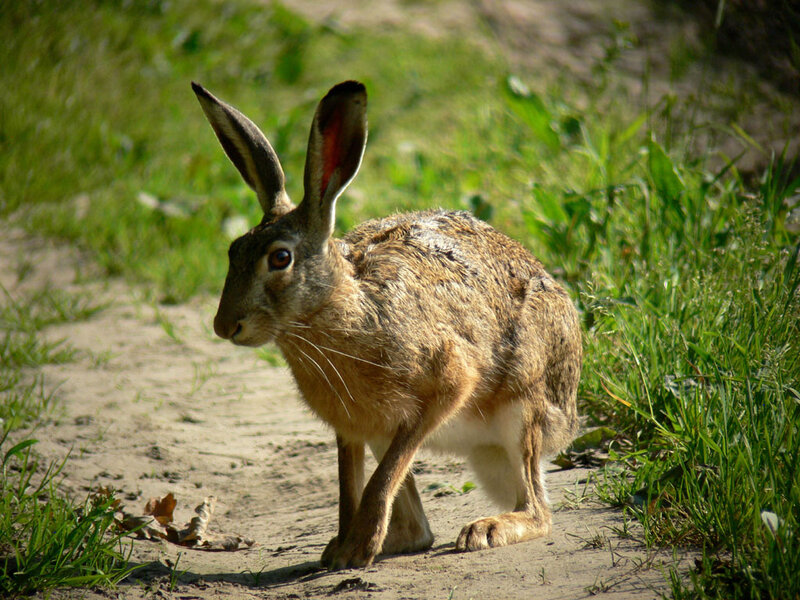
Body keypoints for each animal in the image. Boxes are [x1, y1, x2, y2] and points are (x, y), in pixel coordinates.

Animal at [192, 80, 582, 570]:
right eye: (233, 251)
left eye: (280, 258)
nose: (225, 326)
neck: (339, 309)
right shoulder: (353, 427)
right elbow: (349, 486)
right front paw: (341, 549)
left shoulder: (447, 382)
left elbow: (381, 480)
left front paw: (358, 548)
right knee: (419, 529)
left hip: (522, 408)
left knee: (537, 509)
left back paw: (484, 530)